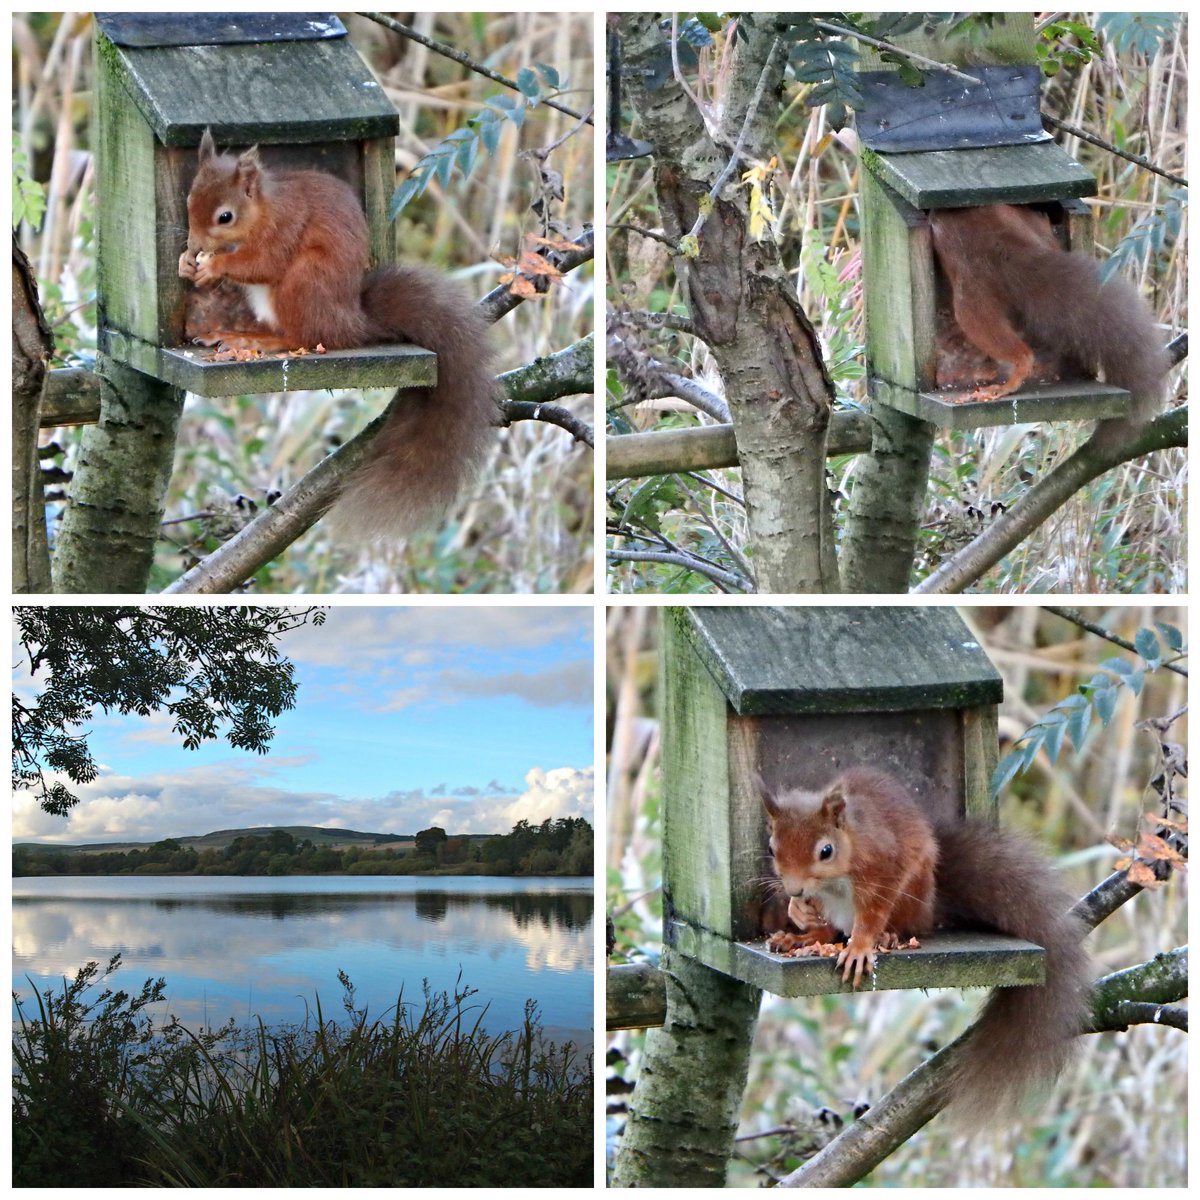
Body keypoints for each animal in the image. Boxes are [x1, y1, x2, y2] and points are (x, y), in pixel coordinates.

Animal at [177, 129, 498, 542]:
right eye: (188, 202)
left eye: (225, 216)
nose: (196, 247)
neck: (264, 209)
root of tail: (350, 321)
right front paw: (187, 264)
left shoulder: (284, 228)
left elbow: (262, 263)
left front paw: (214, 266)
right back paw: (235, 332)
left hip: (303, 282)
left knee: (297, 335)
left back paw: (257, 341)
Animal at [760, 766, 1090, 1129]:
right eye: (772, 849)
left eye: (826, 851)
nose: (794, 889)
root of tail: (931, 909)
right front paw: (797, 912)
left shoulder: (882, 866)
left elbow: (873, 911)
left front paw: (860, 946)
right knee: (829, 929)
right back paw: (801, 937)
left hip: (912, 894)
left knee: (899, 923)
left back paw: (886, 937)